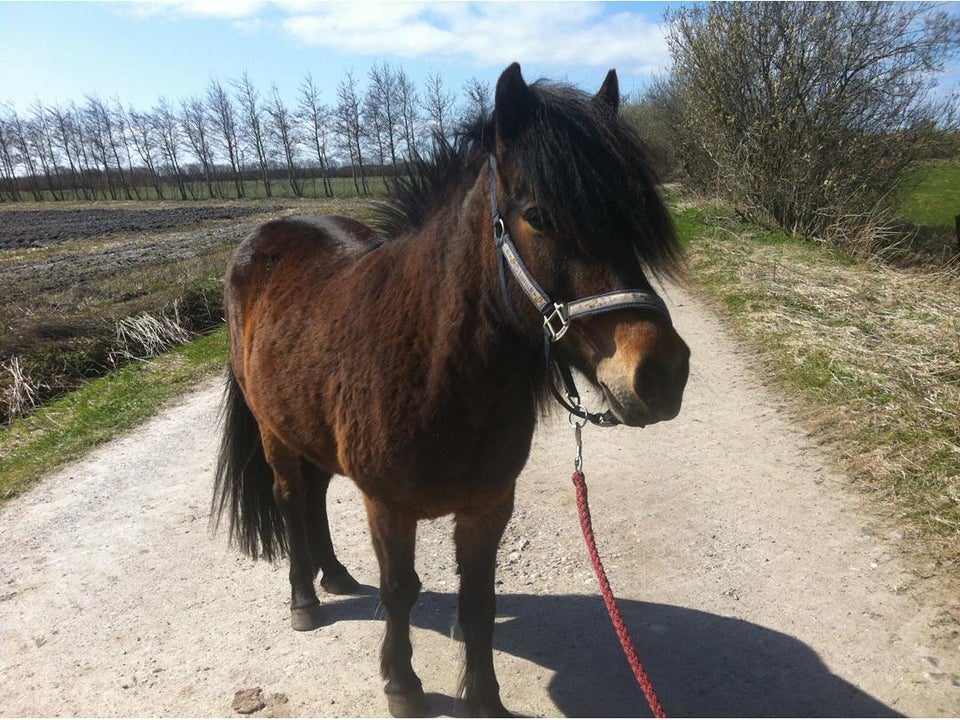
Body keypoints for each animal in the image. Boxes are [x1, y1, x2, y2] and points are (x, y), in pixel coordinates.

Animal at [214, 64, 688, 716]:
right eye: (538, 215)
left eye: (632, 215)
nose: (661, 373)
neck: (437, 372)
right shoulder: (388, 506)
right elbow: (400, 590)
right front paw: (403, 685)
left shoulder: (488, 505)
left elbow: (479, 602)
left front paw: (484, 697)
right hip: (275, 432)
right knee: (291, 499)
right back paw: (304, 599)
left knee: (313, 498)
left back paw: (333, 575)